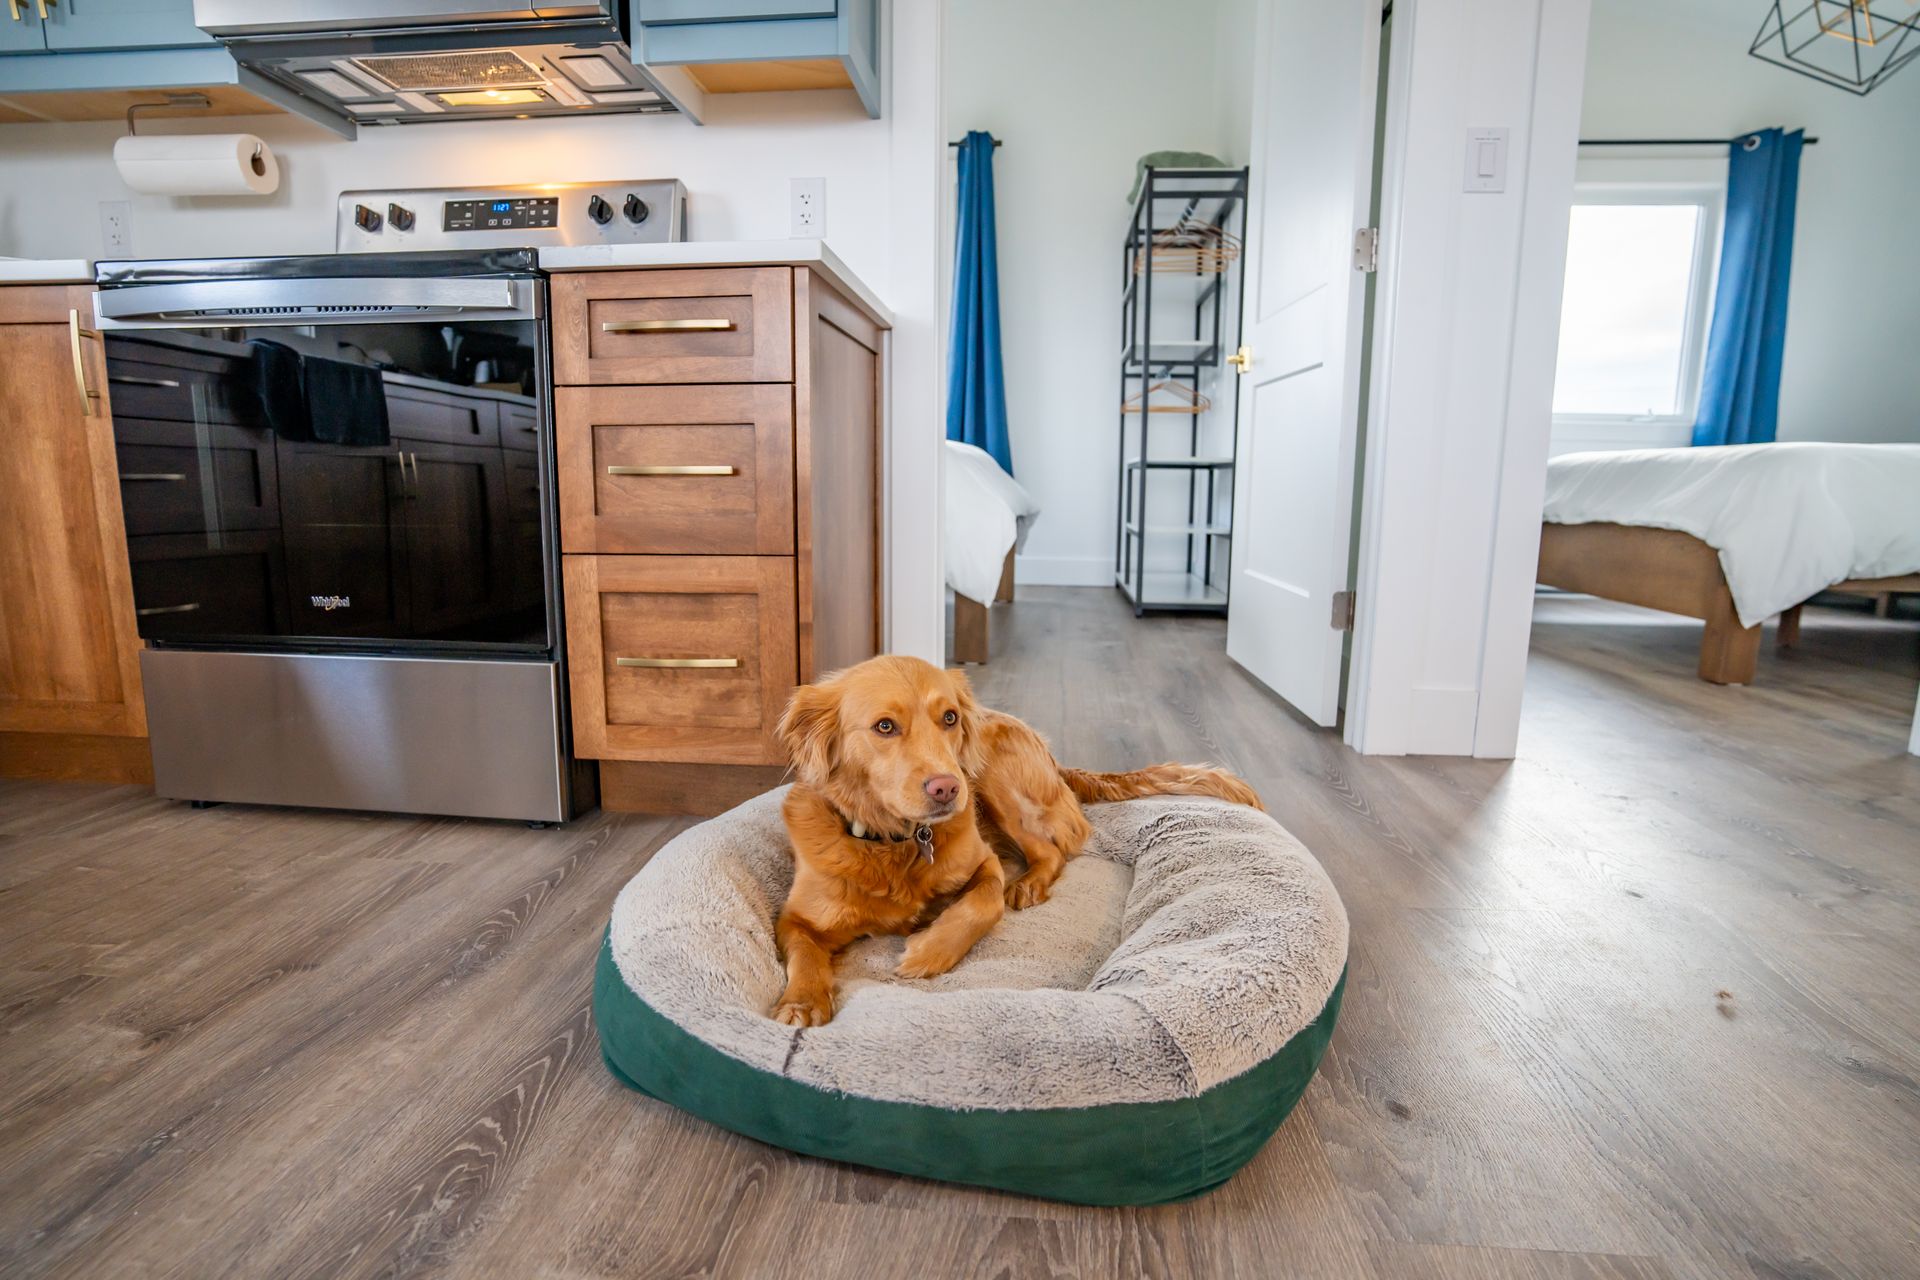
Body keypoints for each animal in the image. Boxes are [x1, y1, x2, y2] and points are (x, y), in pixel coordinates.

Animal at [764, 656, 1259, 1028]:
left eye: (949, 718)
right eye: (884, 727)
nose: (947, 788)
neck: (895, 841)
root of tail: (1056, 759)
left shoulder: (984, 862)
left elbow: (985, 903)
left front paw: (929, 952)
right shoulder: (796, 919)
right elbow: (804, 954)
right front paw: (802, 1003)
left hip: (996, 776)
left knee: (1053, 850)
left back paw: (1029, 883)